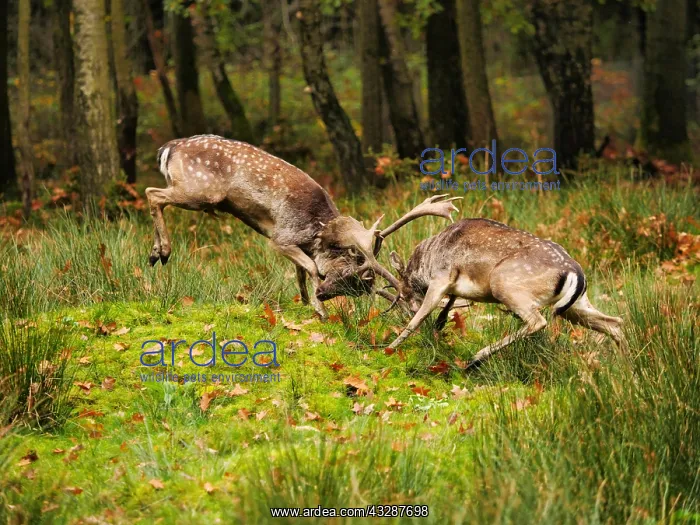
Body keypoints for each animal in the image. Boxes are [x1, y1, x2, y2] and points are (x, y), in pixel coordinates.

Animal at [146, 134, 461, 319]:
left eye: (356, 289)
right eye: (348, 276)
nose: (324, 294)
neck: (316, 230)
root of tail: (167, 148)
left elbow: (299, 270)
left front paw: (307, 301)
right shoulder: (281, 236)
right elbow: (309, 267)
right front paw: (319, 310)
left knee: (155, 195)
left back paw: (154, 253)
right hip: (202, 190)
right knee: (153, 192)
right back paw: (162, 251)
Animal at [377, 218, 625, 368]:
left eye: (402, 293)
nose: (408, 307)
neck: (427, 261)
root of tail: (576, 271)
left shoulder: (441, 277)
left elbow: (419, 319)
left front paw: (388, 349)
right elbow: (448, 305)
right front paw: (438, 325)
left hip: (505, 284)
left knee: (537, 321)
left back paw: (476, 359)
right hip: (576, 305)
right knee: (615, 322)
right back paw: (626, 365)